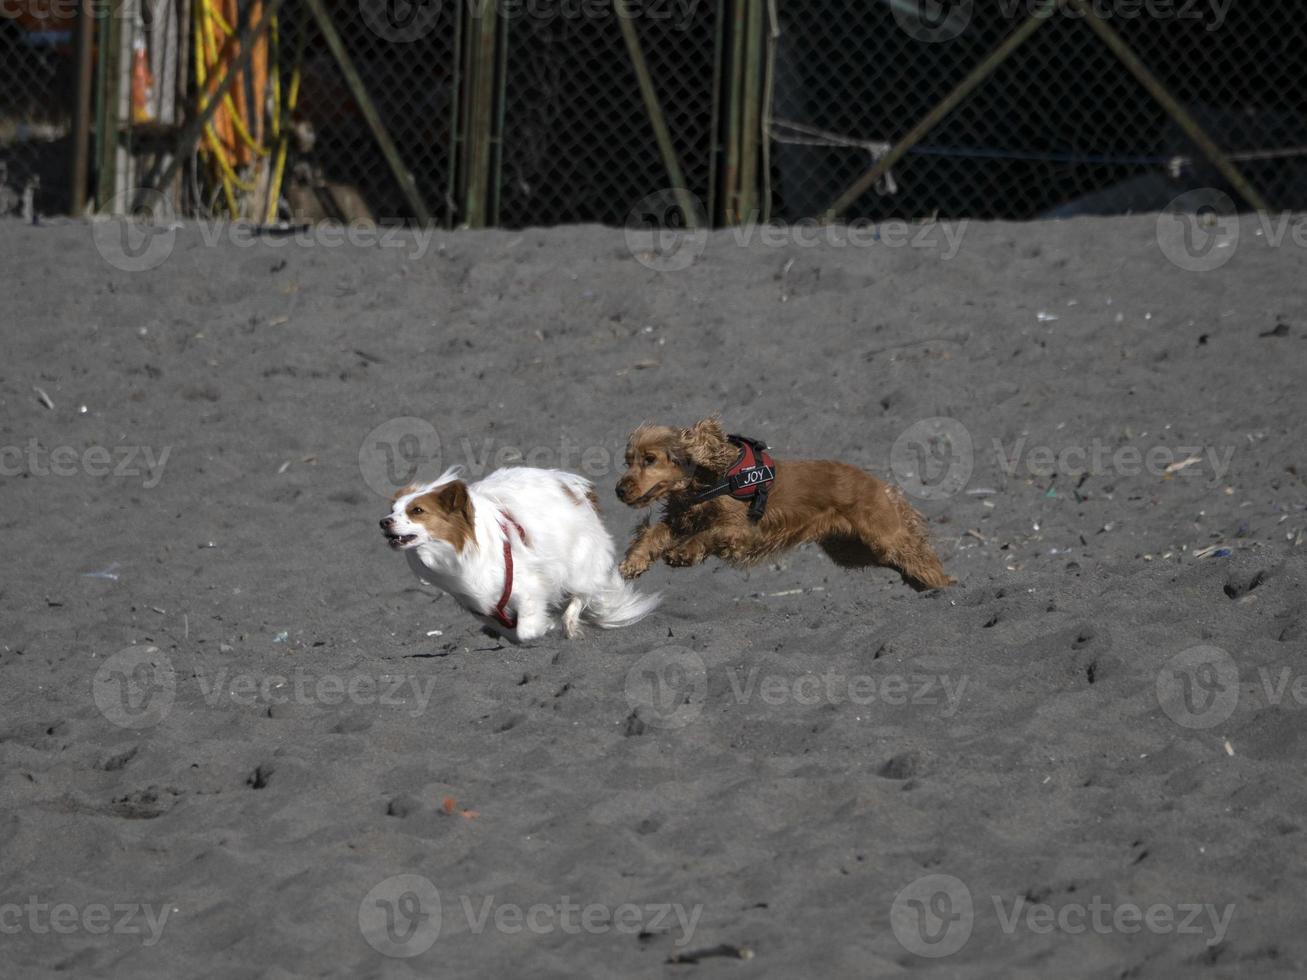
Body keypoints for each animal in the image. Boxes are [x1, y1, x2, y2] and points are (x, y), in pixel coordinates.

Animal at [381, 467, 658, 645]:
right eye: (392, 510)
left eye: (417, 511)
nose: (383, 522)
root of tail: (574, 486)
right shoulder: (481, 605)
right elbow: (510, 632)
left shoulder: (529, 588)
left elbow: (525, 630)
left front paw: (546, 626)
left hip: (577, 562)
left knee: (581, 594)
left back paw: (569, 623)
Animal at [611, 415, 951, 590]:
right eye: (628, 461)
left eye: (650, 459)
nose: (619, 490)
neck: (710, 479)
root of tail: (880, 484)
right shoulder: (682, 518)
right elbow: (654, 534)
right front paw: (633, 563)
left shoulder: (741, 530)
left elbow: (707, 535)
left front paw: (683, 553)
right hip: (852, 550)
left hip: (884, 534)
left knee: (919, 554)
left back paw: (944, 584)